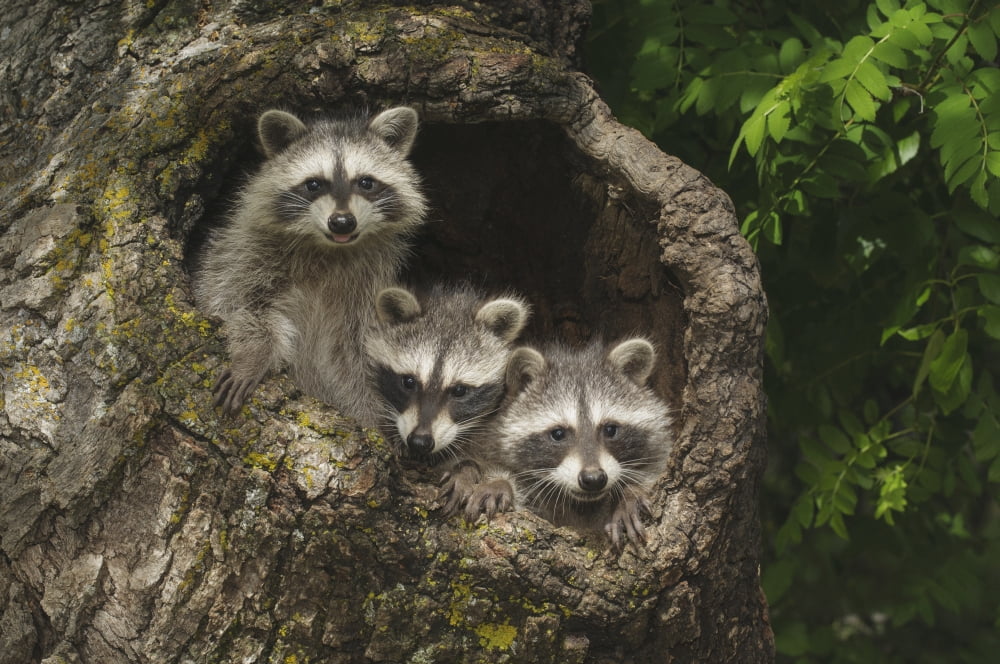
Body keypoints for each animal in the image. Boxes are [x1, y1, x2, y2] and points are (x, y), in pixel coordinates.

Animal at [193, 107, 427, 420]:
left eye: (366, 182)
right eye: (314, 184)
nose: (342, 222)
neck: (331, 249)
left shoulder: (369, 285)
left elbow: (356, 357)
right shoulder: (243, 252)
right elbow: (238, 304)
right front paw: (254, 354)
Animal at [459, 338, 673, 548]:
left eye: (610, 429)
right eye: (558, 433)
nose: (593, 479)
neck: (583, 503)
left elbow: (657, 465)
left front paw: (630, 493)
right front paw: (500, 482)